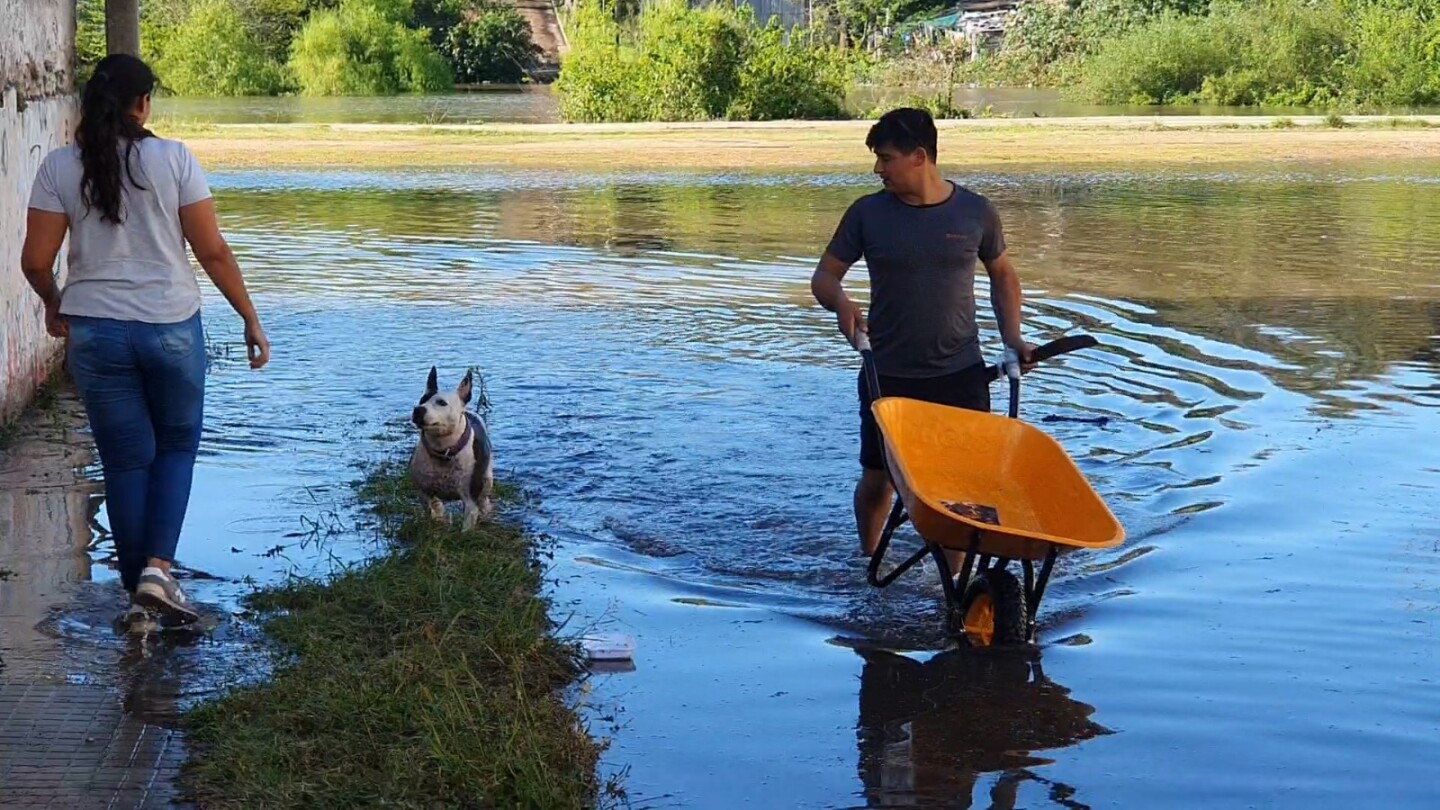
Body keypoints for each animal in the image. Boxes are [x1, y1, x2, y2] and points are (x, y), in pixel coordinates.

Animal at [406, 367, 495, 530]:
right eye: (422, 400)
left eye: (441, 402)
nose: (418, 410)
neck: (443, 451)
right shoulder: (424, 493)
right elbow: (431, 513)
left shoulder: (470, 503)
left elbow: (466, 528)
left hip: (486, 480)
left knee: (484, 500)